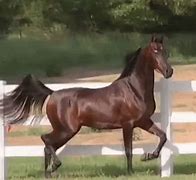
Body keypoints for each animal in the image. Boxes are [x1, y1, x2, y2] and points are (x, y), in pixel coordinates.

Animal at [1, 34, 173, 177]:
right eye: (155, 51)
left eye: (165, 52)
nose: (169, 71)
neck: (134, 90)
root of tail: (52, 93)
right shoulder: (128, 124)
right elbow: (128, 150)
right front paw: (130, 172)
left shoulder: (143, 121)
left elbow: (163, 136)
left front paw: (148, 156)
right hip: (67, 129)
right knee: (46, 140)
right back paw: (54, 166)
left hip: (65, 130)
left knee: (48, 145)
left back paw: (48, 173)